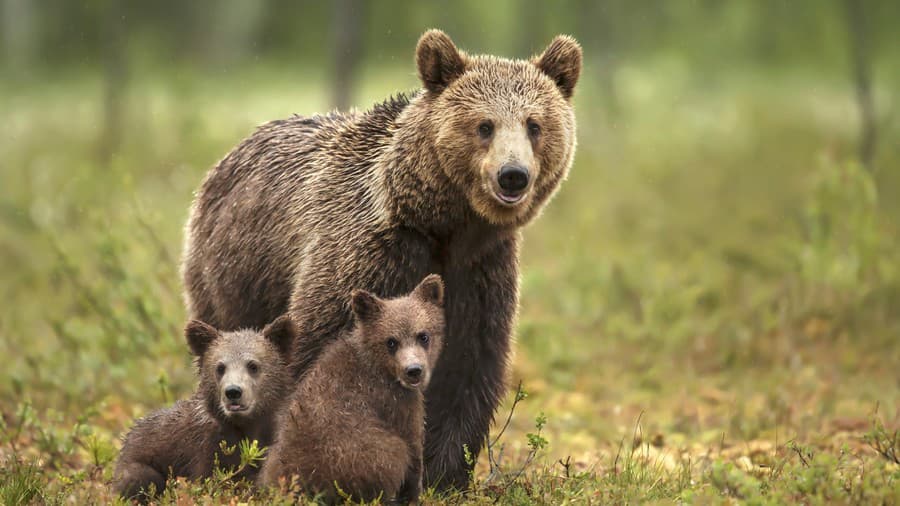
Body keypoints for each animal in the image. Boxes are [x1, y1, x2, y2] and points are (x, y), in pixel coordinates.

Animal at [181, 28, 584, 490]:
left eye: (535, 124)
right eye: (484, 125)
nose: (513, 175)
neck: (443, 225)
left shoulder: (479, 272)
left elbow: (467, 367)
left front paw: (444, 473)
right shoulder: (368, 255)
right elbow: (317, 351)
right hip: (233, 273)